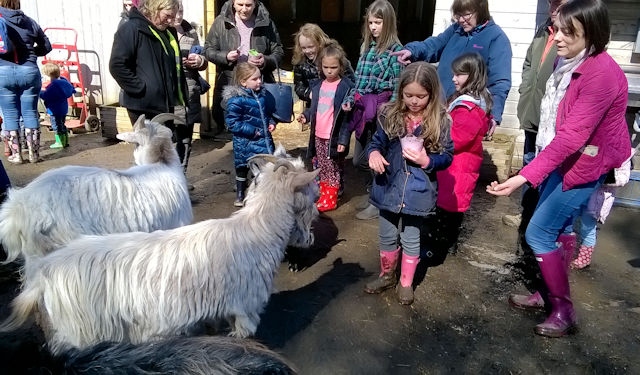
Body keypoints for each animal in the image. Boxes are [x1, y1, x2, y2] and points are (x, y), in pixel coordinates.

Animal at [0, 154, 318, 354]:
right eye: (310, 190)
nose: (316, 218)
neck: (257, 230)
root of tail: (44, 277)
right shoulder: (245, 308)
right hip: (81, 334)